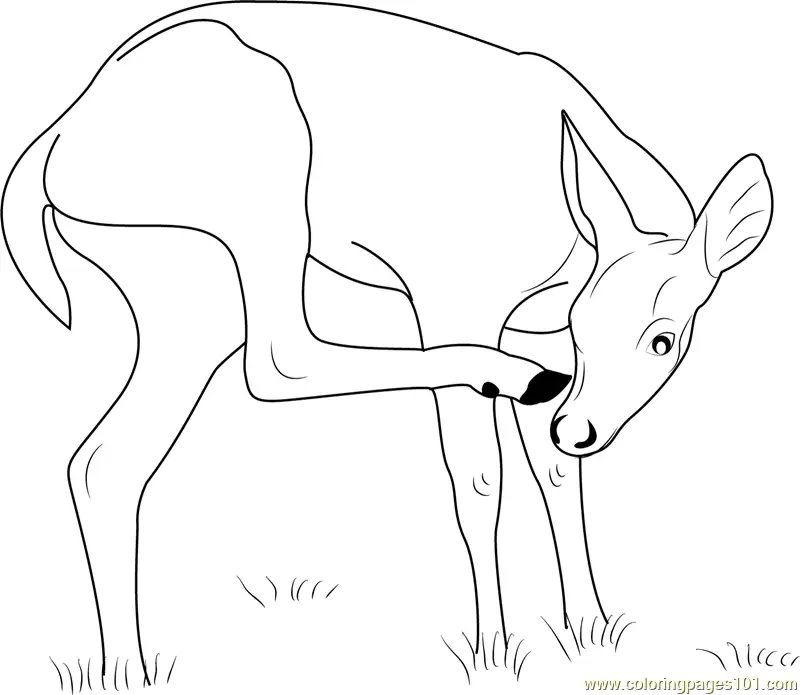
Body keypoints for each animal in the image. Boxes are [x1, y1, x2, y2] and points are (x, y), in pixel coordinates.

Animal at [1, 1, 772, 685]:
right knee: (278, 357)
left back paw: (127, 670)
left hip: (186, 295)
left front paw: (589, 633)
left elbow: (554, 476)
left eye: (663, 340)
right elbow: (480, 477)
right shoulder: (454, 295)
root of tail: (56, 140)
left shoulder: (540, 332)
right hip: (262, 189)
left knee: (105, 461)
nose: (579, 427)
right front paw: (495, 652)